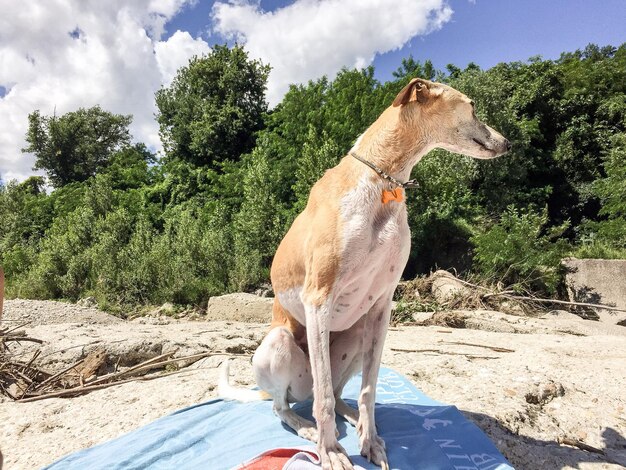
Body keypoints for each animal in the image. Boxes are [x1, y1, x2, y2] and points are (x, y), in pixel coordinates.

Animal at [219, 77, 508, 470]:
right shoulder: (318, 298)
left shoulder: (382, 305)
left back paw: (353, 419)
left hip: (356, 335)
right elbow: (324, 401)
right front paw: (330, 451)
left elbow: (369, 389)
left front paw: (369, 441)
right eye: (473, 106)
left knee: (338, 392)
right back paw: (306, 426)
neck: (382, 180)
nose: (509, 143)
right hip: (278, 346)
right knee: (291, 403)